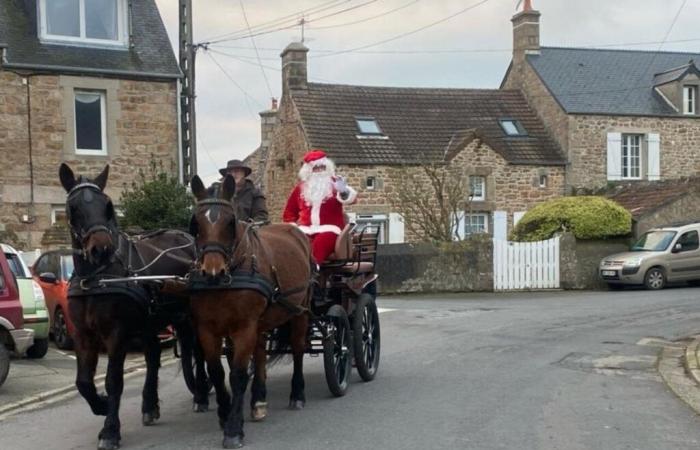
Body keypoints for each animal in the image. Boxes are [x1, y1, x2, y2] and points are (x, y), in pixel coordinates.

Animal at [59, 164, 208, 450]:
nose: (101, 249)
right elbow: (83, 382)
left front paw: (110, 430)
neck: (95, 278)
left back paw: (202, 395)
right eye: (73, 207)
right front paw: (101, 405)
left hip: (188, 316)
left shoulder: (116, 334)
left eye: (107, 205)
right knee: (154, 358)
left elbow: (113, 380)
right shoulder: (83, 335)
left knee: (198, 350)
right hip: (152, 321)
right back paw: (150, 405)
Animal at [189, 174, 314, 448]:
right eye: (195, 224)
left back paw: (298, 394)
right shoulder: (207, 330)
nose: (212, 273)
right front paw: (224, 414)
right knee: (260, 353)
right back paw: (258, 401)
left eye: (230, 222)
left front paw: (233, 429)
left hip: (301, 311)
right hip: (263, 321)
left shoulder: (243, 328)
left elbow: (237, 375)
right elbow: (217, 373)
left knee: (298, 349)